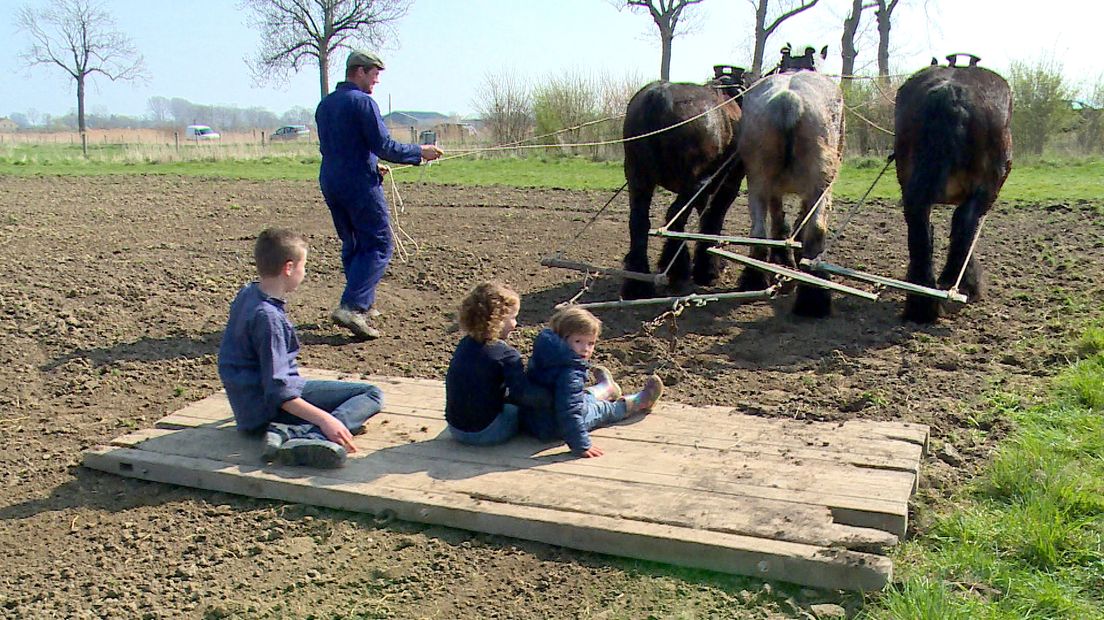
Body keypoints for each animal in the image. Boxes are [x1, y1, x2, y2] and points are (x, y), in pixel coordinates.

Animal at [622, 66, 750, 297]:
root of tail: (659, 96)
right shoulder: (729, 184)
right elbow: (713, 218)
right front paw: (708, 269)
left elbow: (705, 214)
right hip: (693, 183)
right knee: (675, 216)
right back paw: (677, 270)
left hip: (638, 178)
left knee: (638, 222)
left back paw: (638, 285)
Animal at [733, 70, 843, 315]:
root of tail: (788, 100)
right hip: (820, 185)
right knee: (816, 230)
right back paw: (814, 297)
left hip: (758, 181)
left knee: (759, 231)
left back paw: (755, 280)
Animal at [892, 56, 1011, 324]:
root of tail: (951, 93)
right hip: (986, 189)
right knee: (964, 225)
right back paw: (954, 287)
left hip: (912, 186)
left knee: (921, 229)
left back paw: (921, 301)